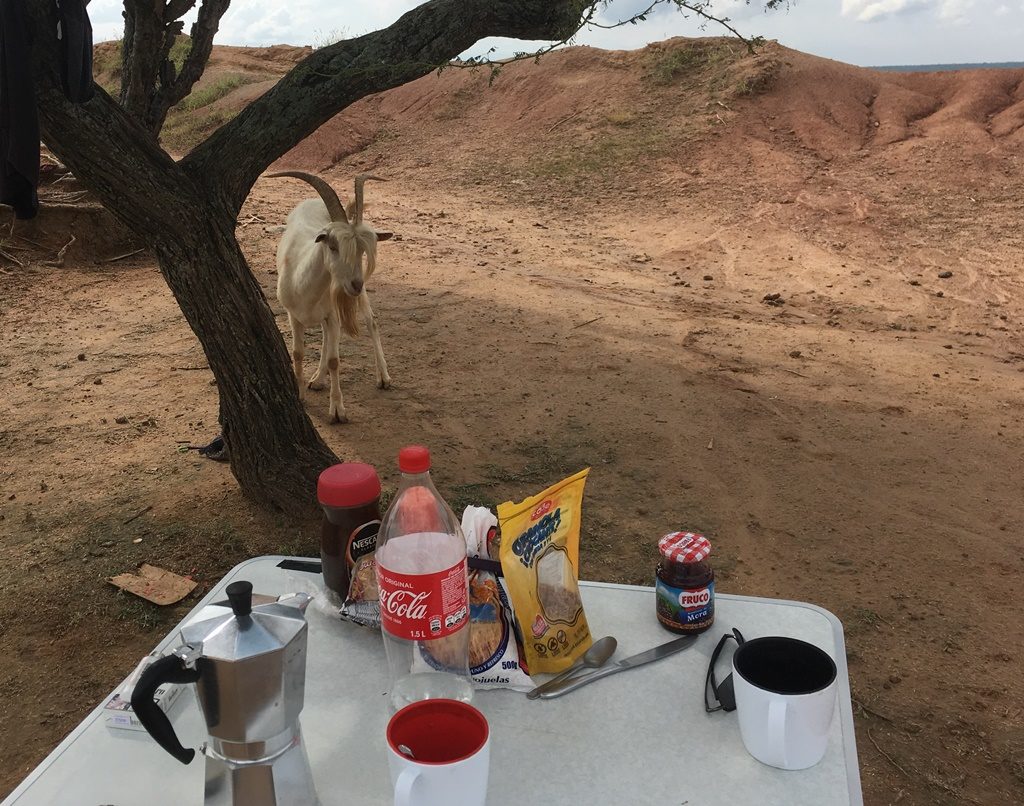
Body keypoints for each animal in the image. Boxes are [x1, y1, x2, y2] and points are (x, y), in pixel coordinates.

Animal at [268, 170, 391, 421]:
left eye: (361, 251)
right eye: (332, 246)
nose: (355, 284)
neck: (302, 282)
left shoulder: (333, 314)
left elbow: (335, 360)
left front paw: (337, 410)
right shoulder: (293, 316)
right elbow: (297, 353)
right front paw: (301, 395)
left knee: (371, 321)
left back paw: (383, 377)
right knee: (326, 336)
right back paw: (317, 380)